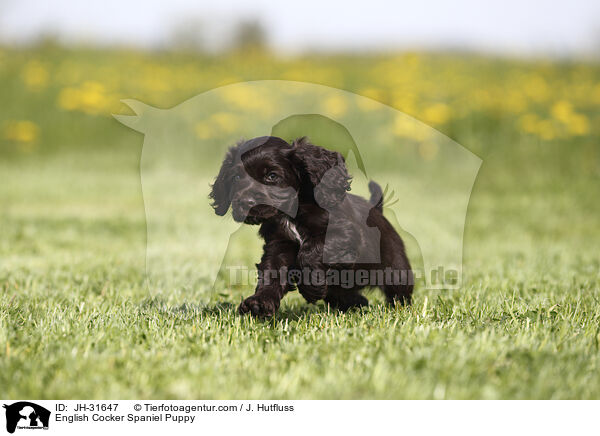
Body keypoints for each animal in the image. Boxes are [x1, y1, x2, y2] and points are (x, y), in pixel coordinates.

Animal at [211, 135, 412, 316]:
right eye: (236, 177)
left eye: (272, 175)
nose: (245, 203)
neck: (292, 213)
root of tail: (376, 209)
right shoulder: (279, 245)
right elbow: (271, 272)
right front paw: (259, 303)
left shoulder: (344, 234)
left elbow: (310, 250)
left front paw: (311, 287)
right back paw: (356, 304)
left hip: (396, 269)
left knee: (399, 292)